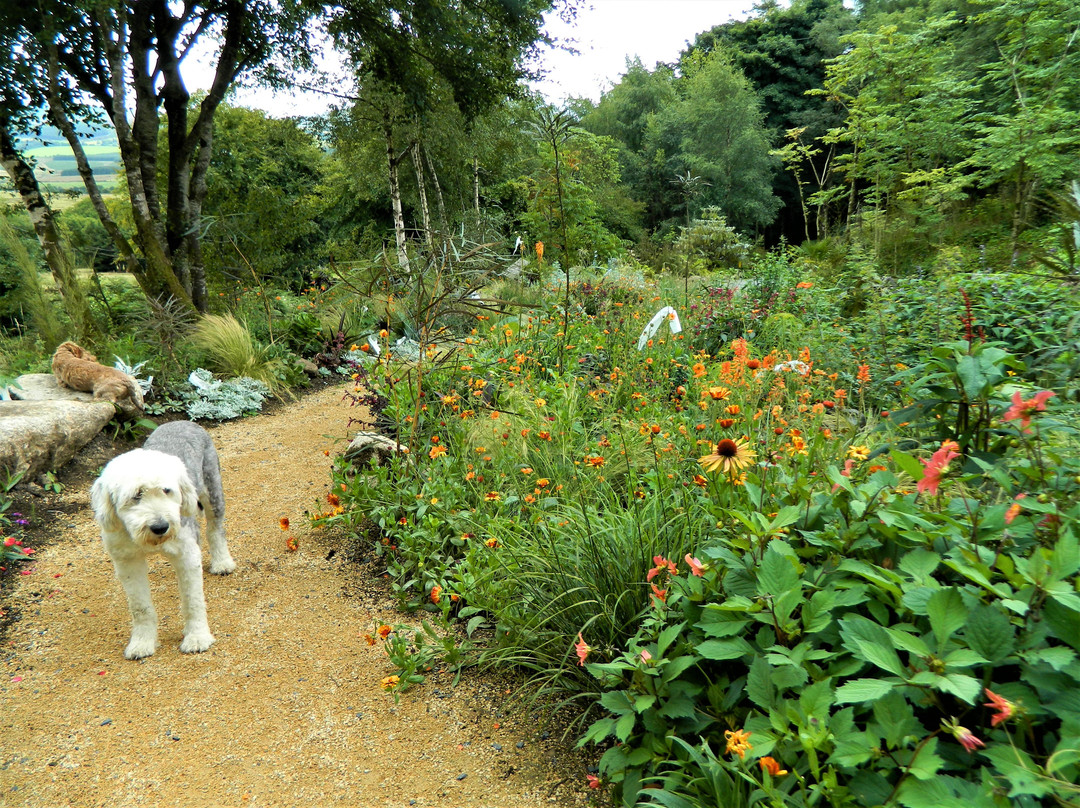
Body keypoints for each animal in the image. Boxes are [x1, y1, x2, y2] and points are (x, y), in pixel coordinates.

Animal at [90, 423, 234, 656]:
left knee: (215, 529)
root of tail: (182, 422)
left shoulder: (186, 554)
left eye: (167, 490)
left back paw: (222, 562)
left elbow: (193, 601)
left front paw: (197, 638)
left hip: (212, 490)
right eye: (136, 495)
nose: (160, 527)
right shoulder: (128, 562)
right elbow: (140, 607)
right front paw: (142, 643)